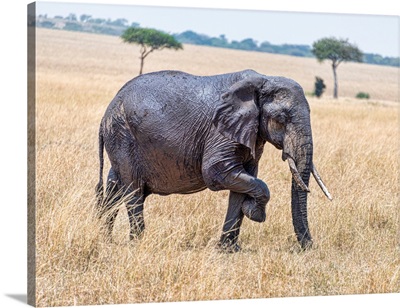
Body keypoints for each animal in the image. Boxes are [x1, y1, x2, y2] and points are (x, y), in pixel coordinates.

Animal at [96, 70, 332, 253]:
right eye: (281, 119)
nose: (309, 248)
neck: (263, 80)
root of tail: (109, 107)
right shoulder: (220, 132)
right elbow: (217, 172)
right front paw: (255, 213)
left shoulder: (250, 133)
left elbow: (245, 181)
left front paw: (228, 249)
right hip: (123, 134)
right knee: (133, 189)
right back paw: (137, 243)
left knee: (114, 187)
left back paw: (104, 238)